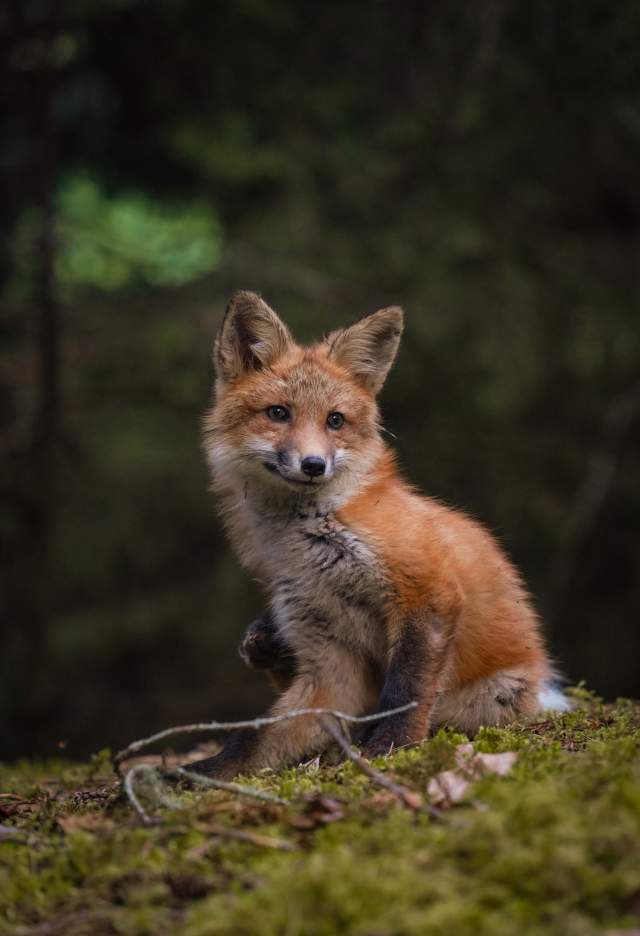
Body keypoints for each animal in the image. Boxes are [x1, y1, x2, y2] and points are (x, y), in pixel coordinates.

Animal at [191, 291, 567, 779]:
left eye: (335, 421)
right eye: (278, 413)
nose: (314, 465)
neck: (309, 541)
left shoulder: (427, 592)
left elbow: (404, 693)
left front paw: (390, 747)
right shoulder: (328, 654)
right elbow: (256, 737)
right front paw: (201, 773)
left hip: (493, 695)